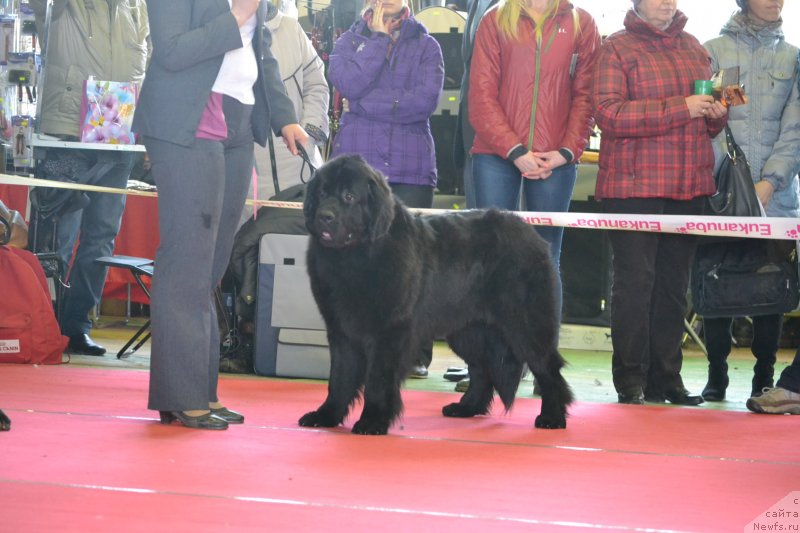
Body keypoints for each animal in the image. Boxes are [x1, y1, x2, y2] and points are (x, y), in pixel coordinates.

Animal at [298, 155, 568, 436]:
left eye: (349, 196)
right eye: (322, 193)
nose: (324, 216)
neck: (356, 255)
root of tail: (532, 235)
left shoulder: (388, 332)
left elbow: (377, 380)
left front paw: (372, 421)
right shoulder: (341, 330)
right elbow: (339, 377)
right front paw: (326, 415)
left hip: (525, 326)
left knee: (547, 369)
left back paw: (552, 417)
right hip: (468, 331)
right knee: (482, 370)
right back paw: (466, 407)